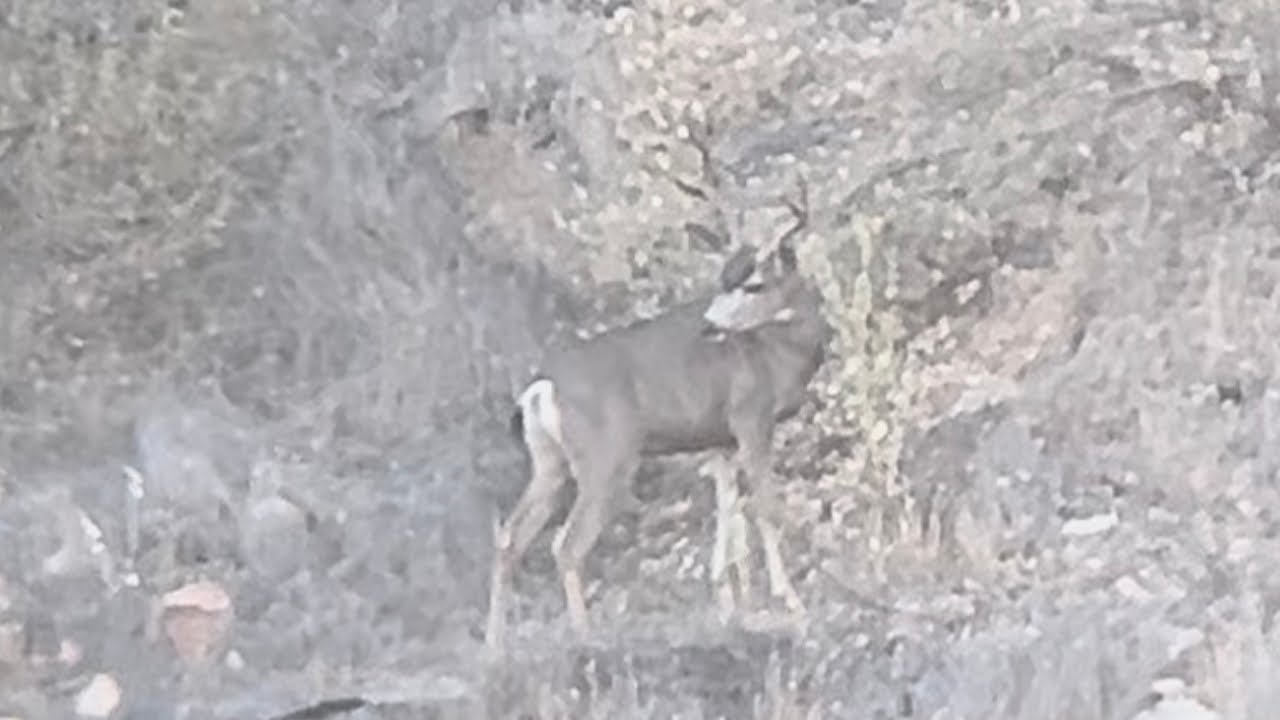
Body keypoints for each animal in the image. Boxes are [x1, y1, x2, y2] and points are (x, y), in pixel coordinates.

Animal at [485, 181, 828, 650]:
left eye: (753, 283)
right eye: (724, 278)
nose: (708, 325)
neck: (778, 351)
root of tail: (541, 389)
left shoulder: (719, 438)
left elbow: (728, 518)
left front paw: (732, 606)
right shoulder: (752, 416)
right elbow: (764, 509)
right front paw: (791, 602)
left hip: (549, 462)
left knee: (508, 536)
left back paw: (494, 646)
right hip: (606, 455)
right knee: (567, 544)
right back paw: (585, 636)